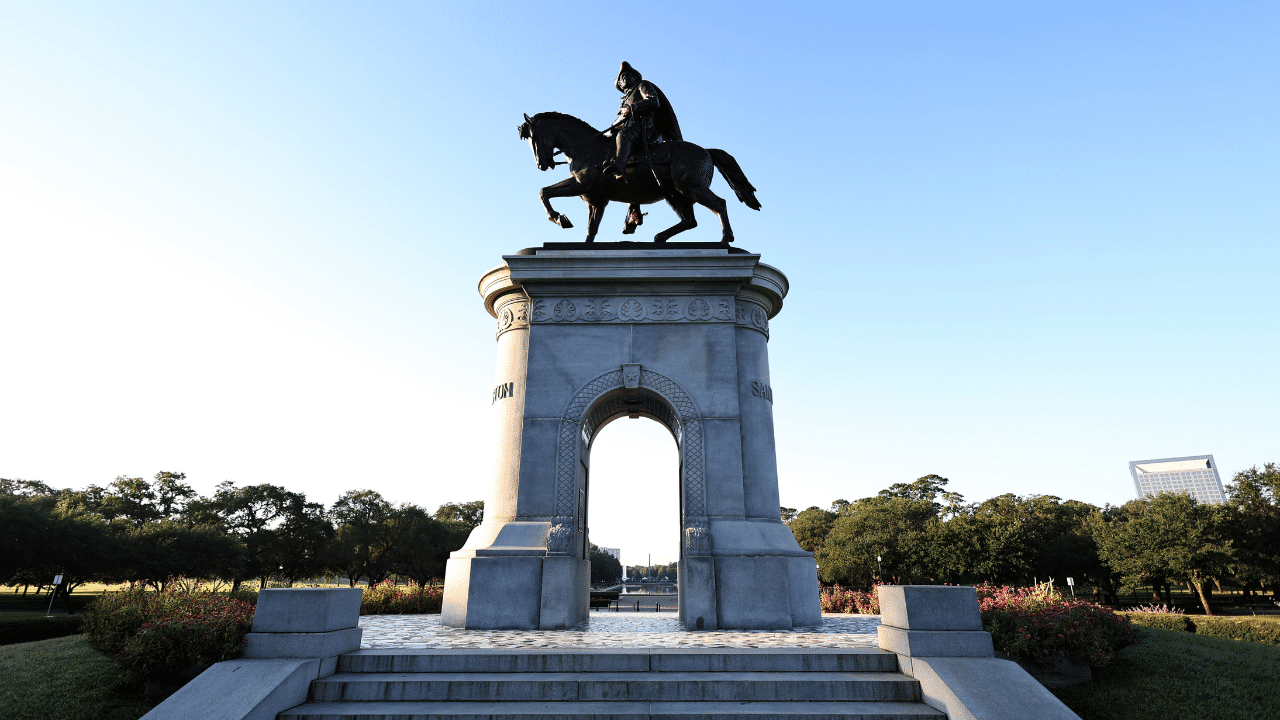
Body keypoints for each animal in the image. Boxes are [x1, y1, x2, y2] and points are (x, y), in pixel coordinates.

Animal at [517, 110, 757, 242]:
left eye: (533, 137)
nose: (541, 165)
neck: (587, 149)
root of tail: (707, 151)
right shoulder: (596, 200)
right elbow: (590, 231)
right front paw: (565, 223)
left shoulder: (581, 186)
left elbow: (544, 192)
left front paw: (559, 218)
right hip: (675, 194)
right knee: (690, 220)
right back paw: (660, 238)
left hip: (691, 188)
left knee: (720, 204)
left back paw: (725, 239)